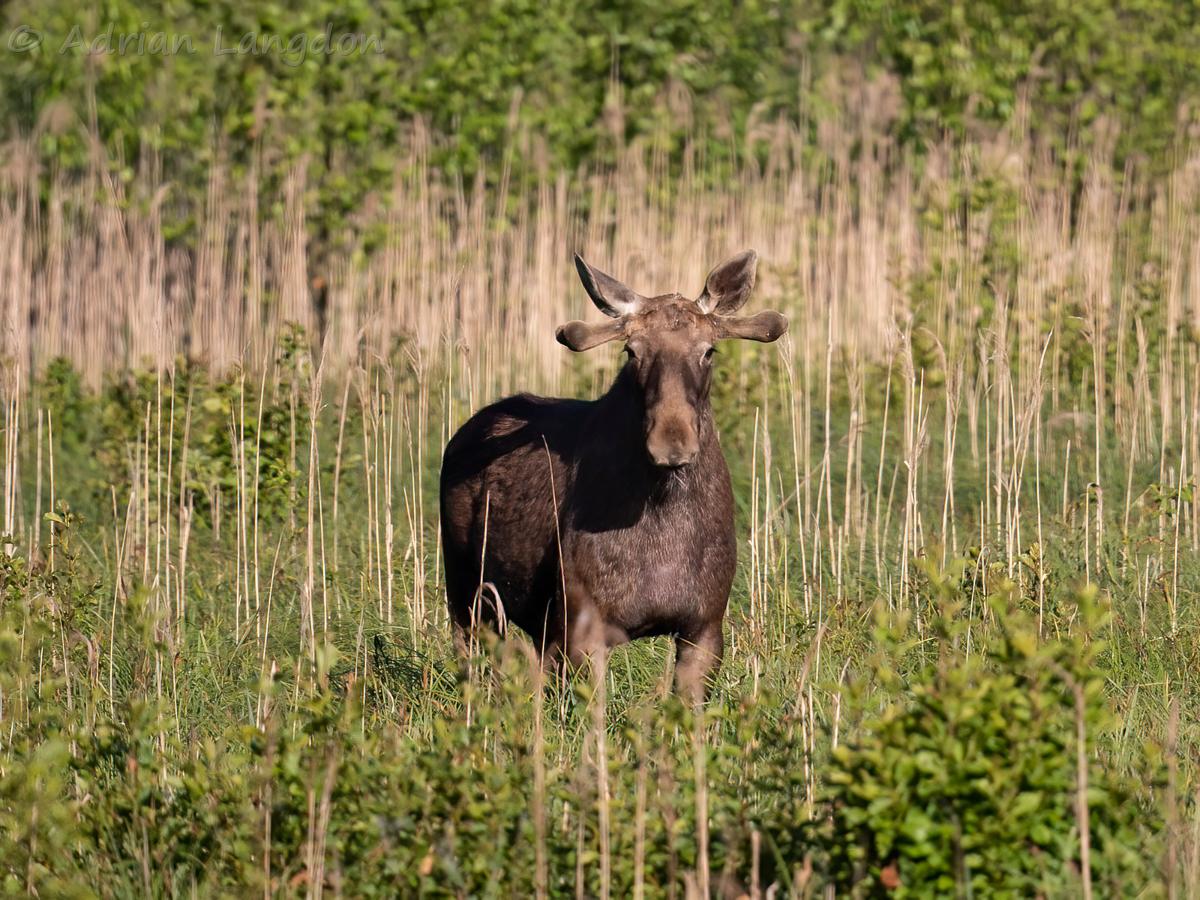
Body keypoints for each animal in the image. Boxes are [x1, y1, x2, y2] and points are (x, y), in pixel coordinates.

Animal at [439, 251, 787, 700]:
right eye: (632, 351)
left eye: (709, 351)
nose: (671, 442)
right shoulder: (584, 625)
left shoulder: (705, 625)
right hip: (466, 586)